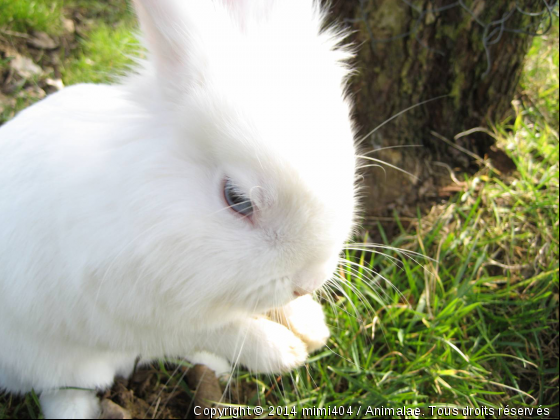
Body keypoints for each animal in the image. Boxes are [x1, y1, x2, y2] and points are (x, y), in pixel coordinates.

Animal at [0, 1, 356, 418]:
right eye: (237, 198)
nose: (308, 282)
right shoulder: (139, 315)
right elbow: (228, 329)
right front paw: (285, 352)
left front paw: (313, 326)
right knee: (65, 391)